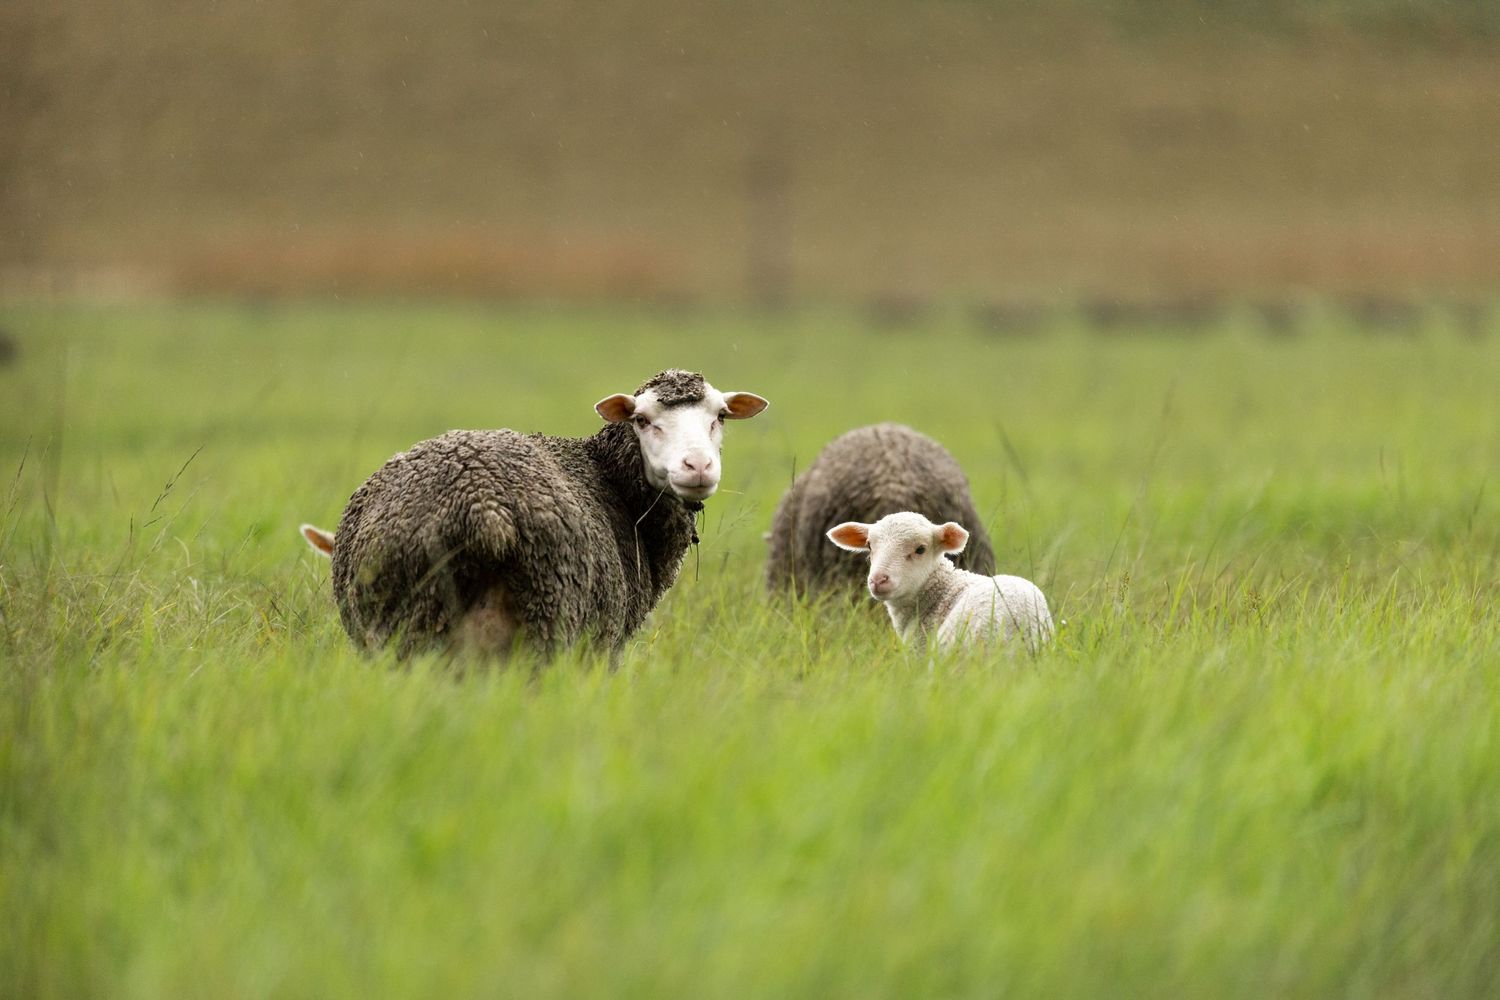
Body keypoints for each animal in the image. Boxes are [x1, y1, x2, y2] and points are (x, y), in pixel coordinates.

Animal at [299, 369, 769, 657]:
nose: (698, 466)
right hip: (548, 618)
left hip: (405, 628)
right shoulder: (604, 645)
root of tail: (481, 505)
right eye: (641, 419)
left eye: (720, 416)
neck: (609, 478)